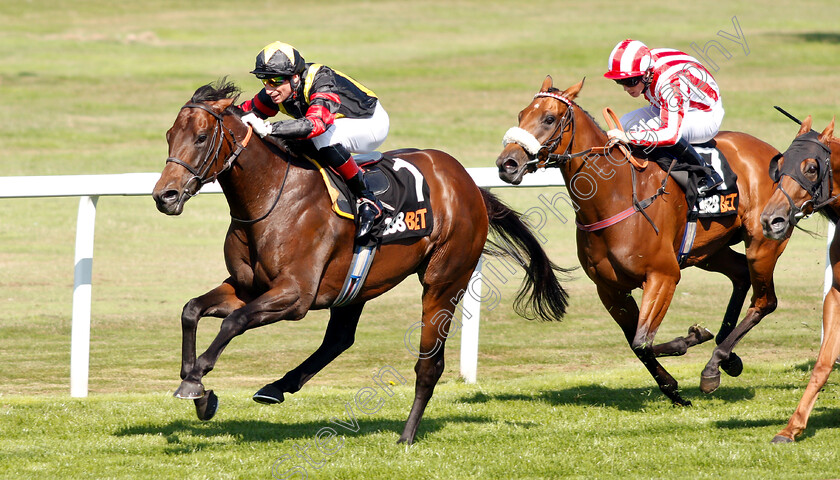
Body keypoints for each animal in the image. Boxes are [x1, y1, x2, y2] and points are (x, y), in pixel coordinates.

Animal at [151, 80, 572, 444]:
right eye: (170, 135)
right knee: (339, 339)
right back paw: (277, 387)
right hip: (355, 286)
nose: (164, 196)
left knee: (428, 364)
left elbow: (233, 322)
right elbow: (191, 310)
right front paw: (197, 388)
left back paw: (406, 436)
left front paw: (196, 381)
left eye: (201, 137)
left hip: (444, 279)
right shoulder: (246, 286)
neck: (272, 197)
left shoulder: (294, 295)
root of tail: (467, 183)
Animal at [496, 77, 792, 406]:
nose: (507, 164)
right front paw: (673, 386)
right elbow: (636, 343)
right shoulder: (610, 288)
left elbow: (642, 342)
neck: (614, 196)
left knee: (765, 301)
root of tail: (774, 152)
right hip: (707, 251)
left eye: (549, 118)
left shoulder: (663, 276)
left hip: (763, 244)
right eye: (521, 114)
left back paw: (715, 364)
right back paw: (727, 356)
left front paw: (690, 342)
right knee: (740, 274)